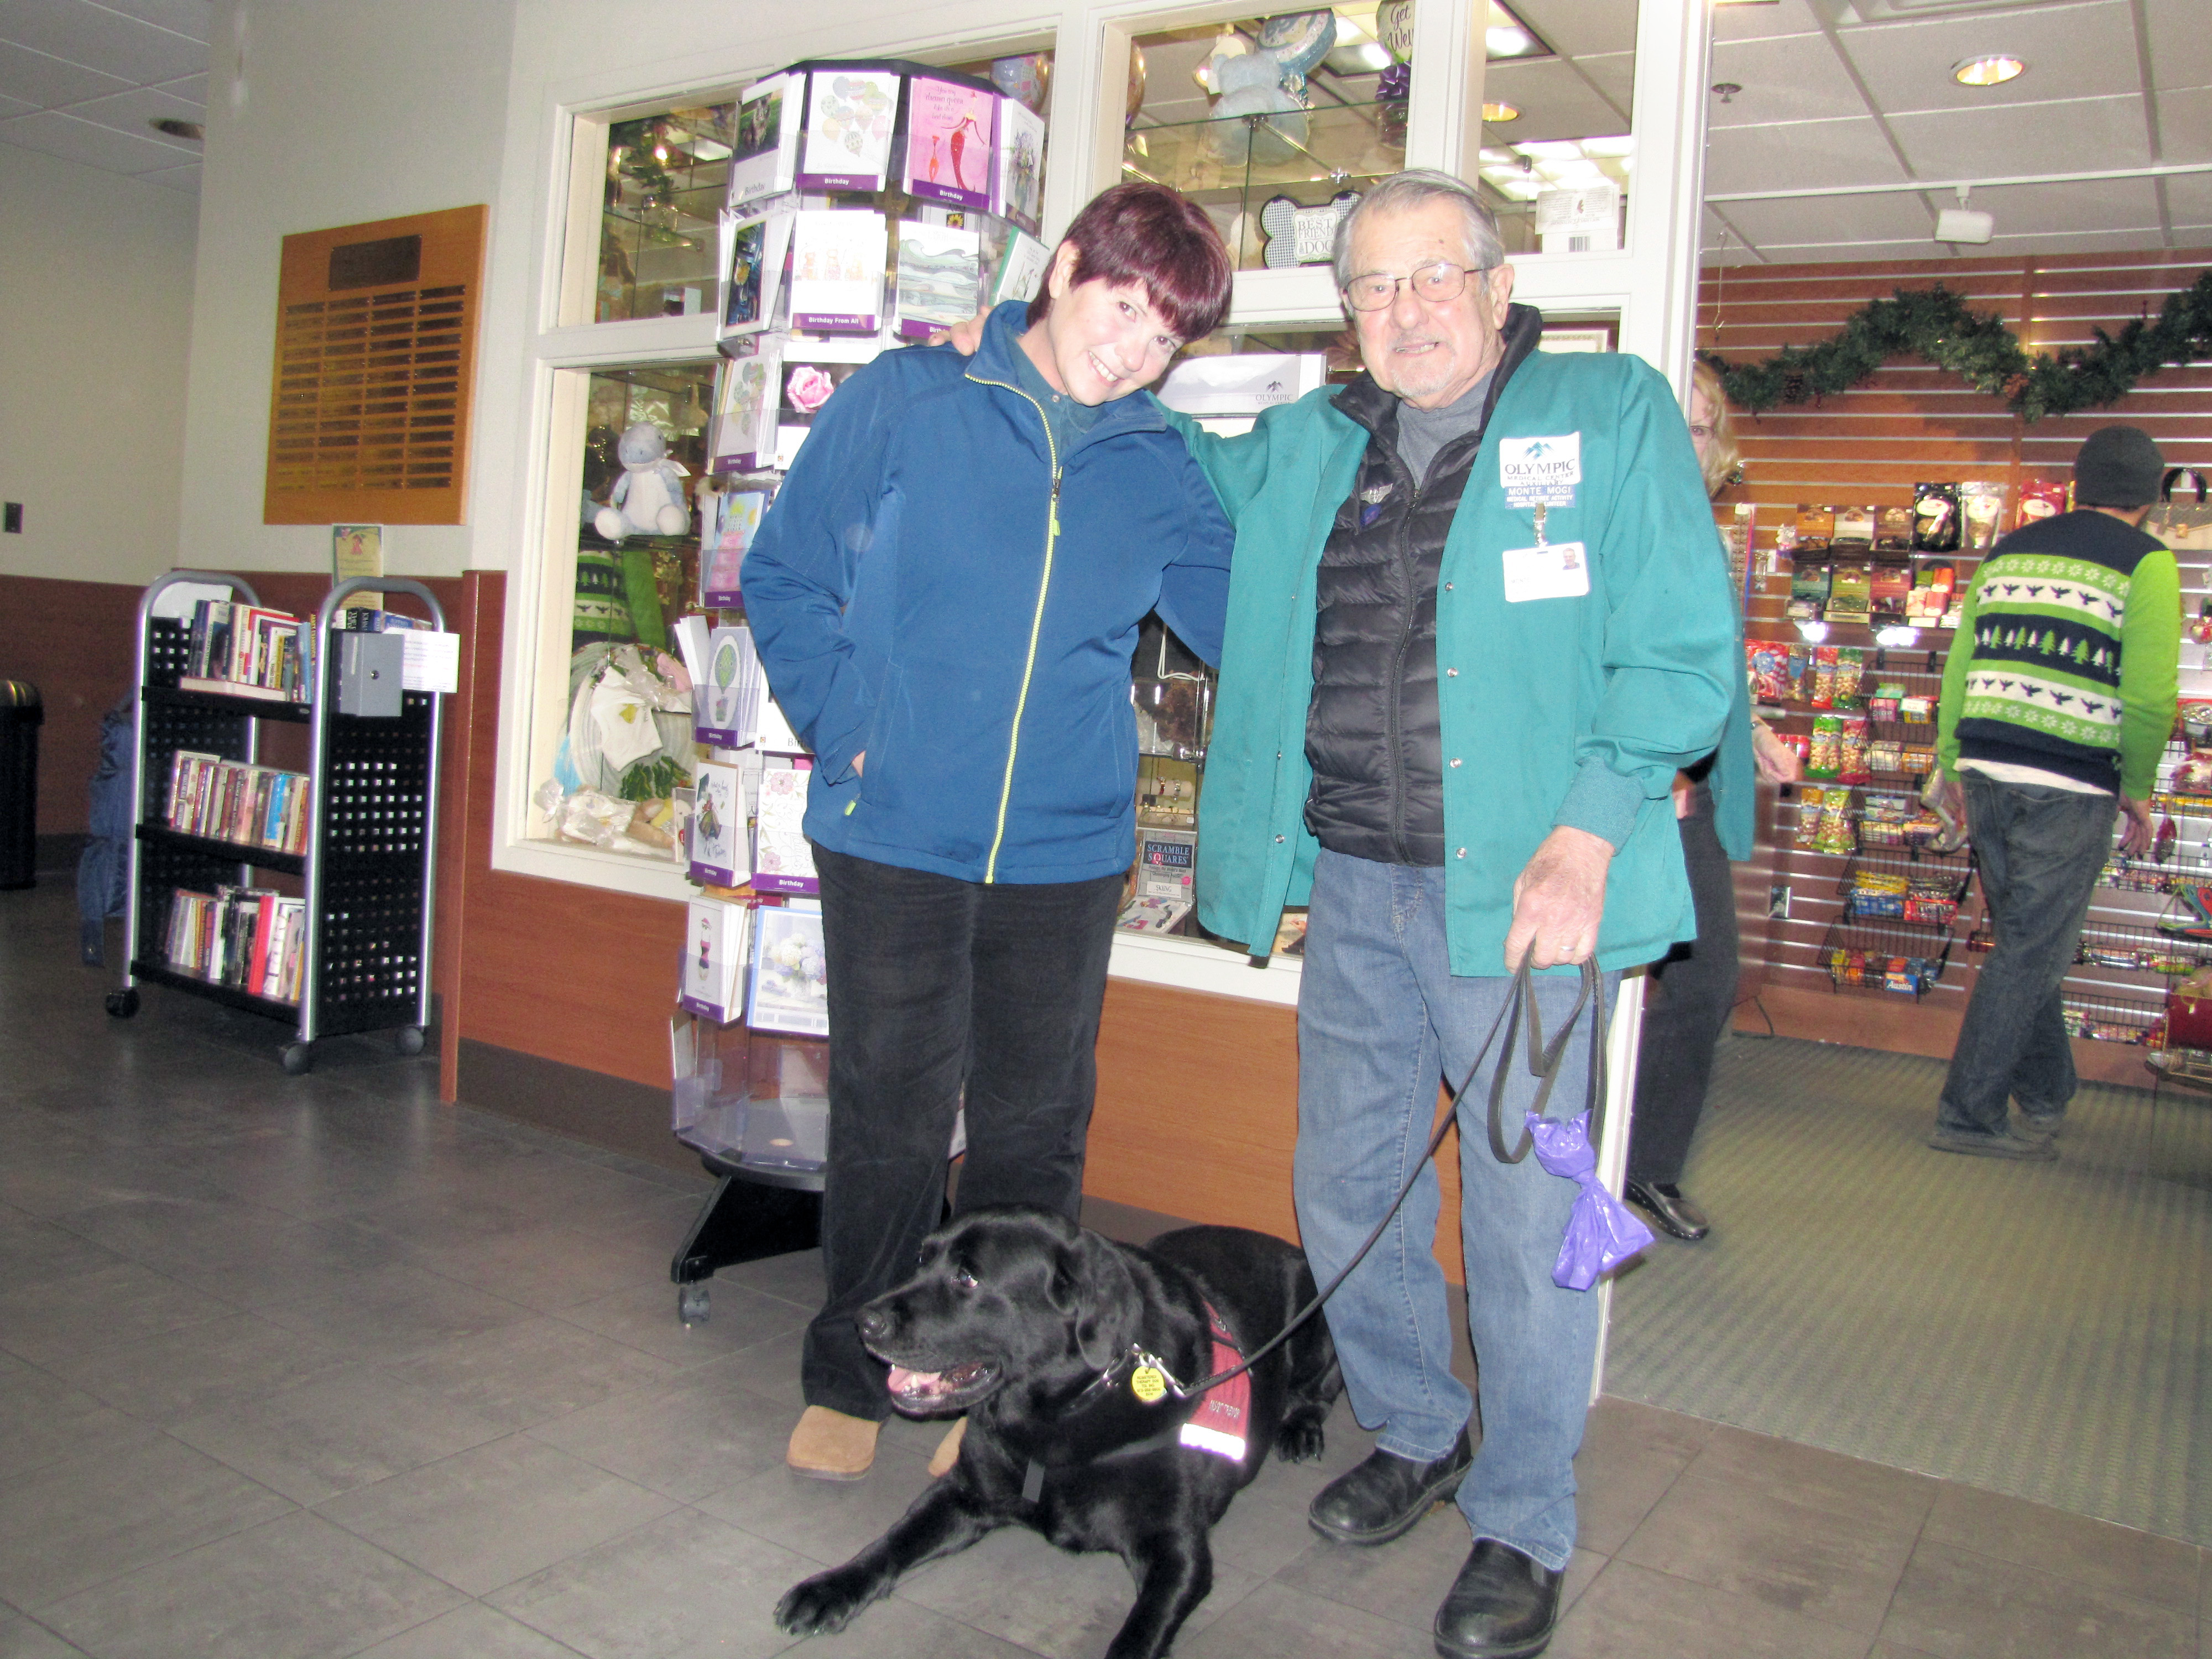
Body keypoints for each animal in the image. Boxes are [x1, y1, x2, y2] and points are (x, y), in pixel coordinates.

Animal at [770, 1212, 1336, 1659]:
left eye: (967, 1278)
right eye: (920, 1258)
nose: (864, 1321)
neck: (1058, 1416)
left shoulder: (1178, 1552)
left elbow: (1138, 1636)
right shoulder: (965, 1492)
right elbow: (891, 1542)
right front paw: (829, 1588)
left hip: (1317, 1333)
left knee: (1321, 1390)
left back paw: (1300, 1429)